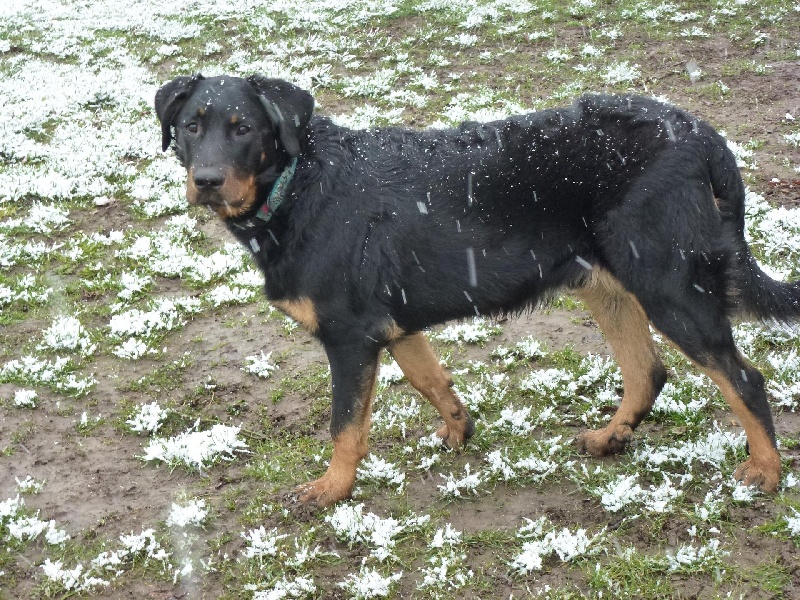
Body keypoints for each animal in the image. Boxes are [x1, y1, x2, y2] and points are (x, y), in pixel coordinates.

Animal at [153, 75, 796, 506]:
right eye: (190, 128)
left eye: (244, 129)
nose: (206, 180)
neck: (298, 182)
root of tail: (701, 134)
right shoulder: (392, 324)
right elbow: (431, 380)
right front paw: (459, 431)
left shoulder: (349, 334)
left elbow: (346, 426)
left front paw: (332, 489)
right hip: (606, 284)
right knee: (648, 371)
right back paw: (612, 437)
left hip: (669, 284)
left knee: (744, 379)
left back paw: (765, 472)